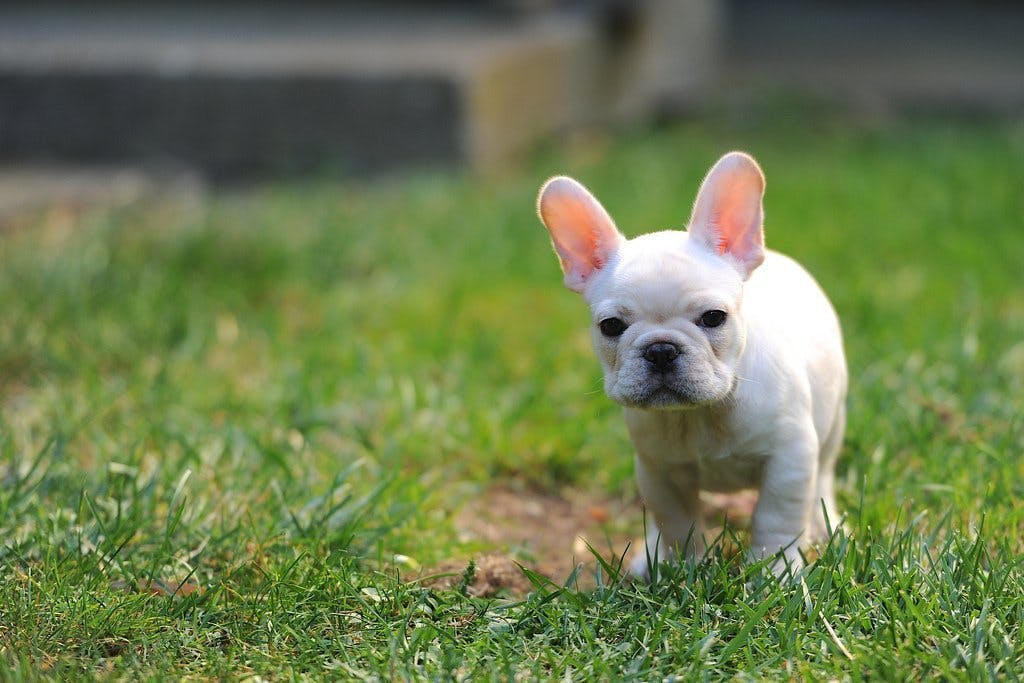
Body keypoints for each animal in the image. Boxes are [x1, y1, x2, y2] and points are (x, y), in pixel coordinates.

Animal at [536, 150, 847, 577]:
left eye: (714, 317)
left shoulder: (789, 459)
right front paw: (682, 569)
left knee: (824, 479)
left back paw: (829, 528)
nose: (661, 350)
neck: (701, 413)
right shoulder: (659, 471)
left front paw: (775, 573)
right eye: (611, 326)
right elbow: (677, 524)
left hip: (831, 430)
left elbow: (776, 520)